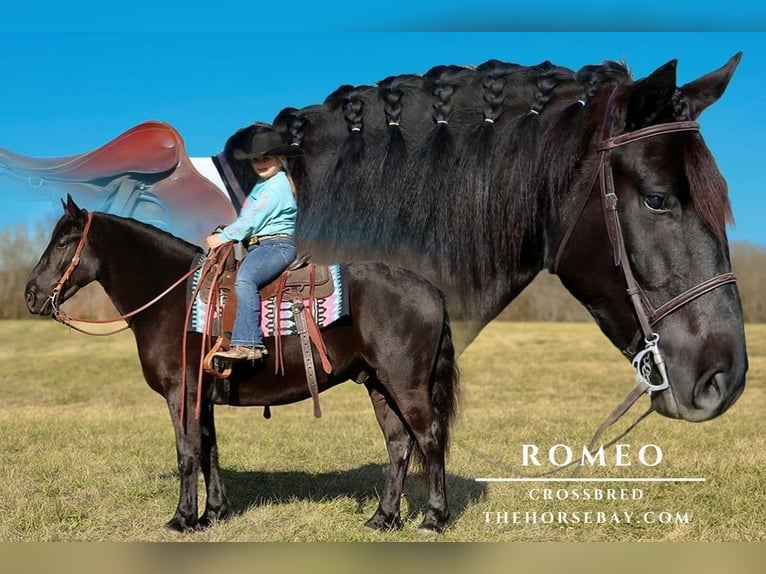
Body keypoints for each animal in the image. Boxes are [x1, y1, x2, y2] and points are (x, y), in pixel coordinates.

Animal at [24, 196, 459, 533]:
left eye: (63, 242)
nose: (30, 294)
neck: (174, 301)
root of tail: (432, 290)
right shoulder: (203, 395)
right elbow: (209, 450)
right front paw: (213, 514)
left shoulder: (182, 393)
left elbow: (187, 453)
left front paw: (182, 519)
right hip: (379, 385)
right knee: (399, 445)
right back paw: (383, 518)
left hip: (406, 386)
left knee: (430, 438)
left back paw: (433, 519)